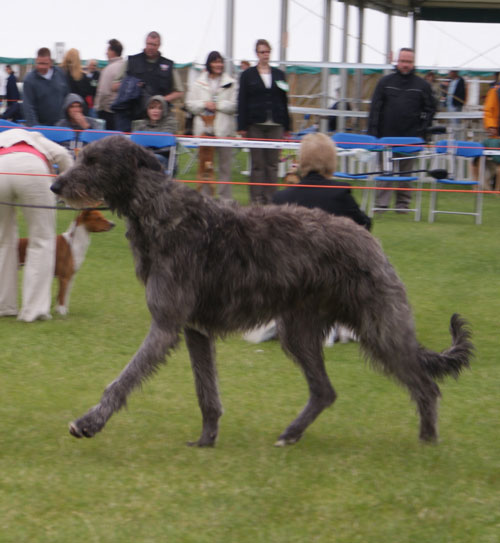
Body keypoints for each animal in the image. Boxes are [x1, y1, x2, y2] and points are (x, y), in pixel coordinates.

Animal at [50, 136, 472, 446]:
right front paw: (206, 439)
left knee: (425, 385)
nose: (55, 184)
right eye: (82, 155)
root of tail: (368, 237)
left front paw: (88, 422)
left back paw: (427, 441)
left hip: (378, 325)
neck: (159, 213)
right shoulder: (195, 329)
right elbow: (206, 392)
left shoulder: (166, 324)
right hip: (299, 330)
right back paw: (291, 434)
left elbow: (122, 381)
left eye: (94, 160)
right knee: (325, 391)